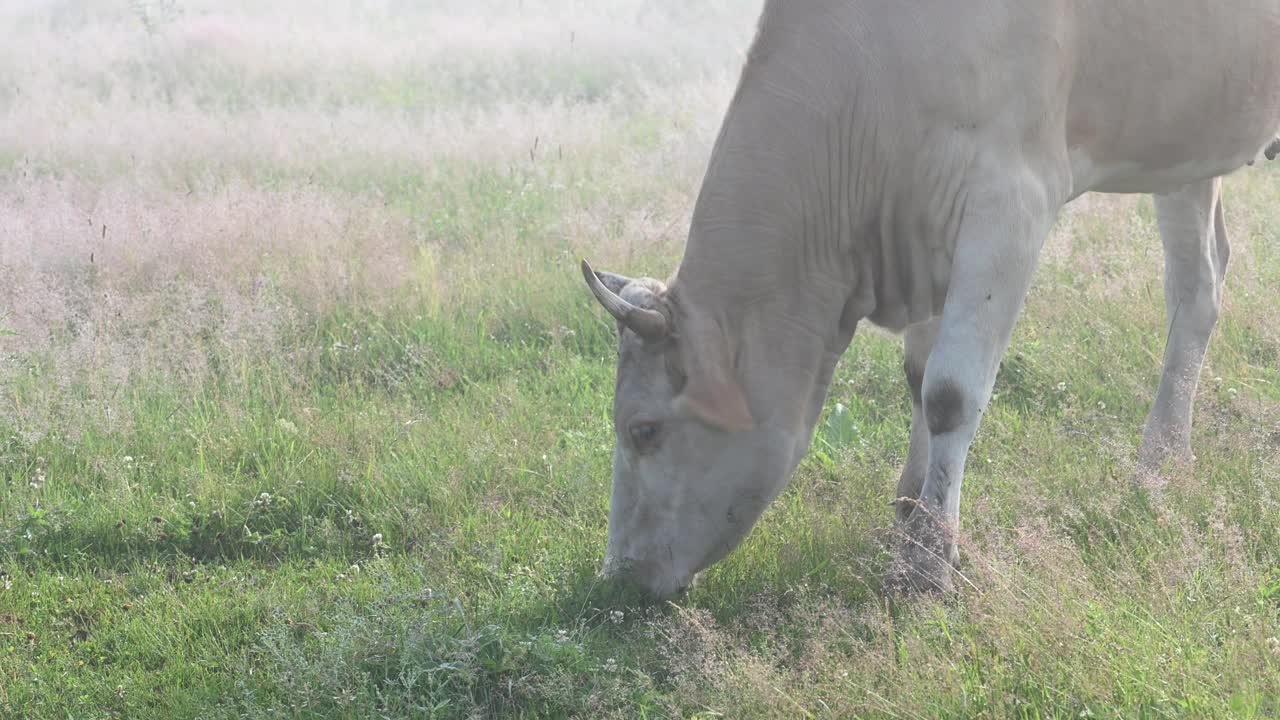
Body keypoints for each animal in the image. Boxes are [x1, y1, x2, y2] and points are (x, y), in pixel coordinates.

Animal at [583, 0, 1280, 594]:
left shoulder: (1010, 204)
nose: (619, 575)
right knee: (1199, 282)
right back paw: (1166, 462)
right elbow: (919, 378)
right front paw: (909, 509)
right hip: (1188, 140)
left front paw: (928, 563)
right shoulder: (927, 229)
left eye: (643, 429)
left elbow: (950, 393)